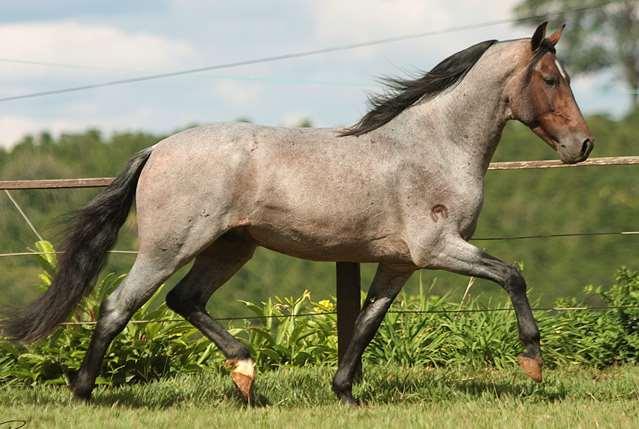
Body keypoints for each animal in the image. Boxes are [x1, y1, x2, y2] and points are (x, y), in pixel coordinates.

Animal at [3, 22, 596, 404]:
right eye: (551, 79)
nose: (583, 145)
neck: (434, 146)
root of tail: (157, 149)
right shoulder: (438, 249)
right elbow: (513, 275)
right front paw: (533, 364)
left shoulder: (399, 263)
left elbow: (366, 323)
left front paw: (345, 394)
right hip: (170, 246)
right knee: (118, 306)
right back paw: (84, 393)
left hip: (232, 246)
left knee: (185, 300)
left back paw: (246, 377)